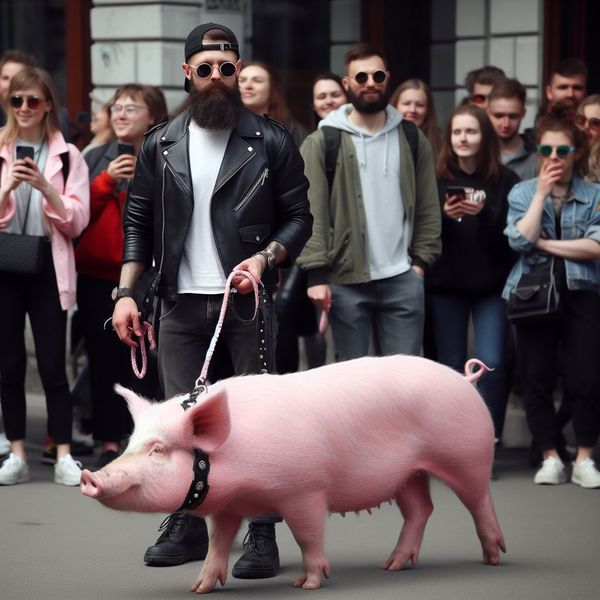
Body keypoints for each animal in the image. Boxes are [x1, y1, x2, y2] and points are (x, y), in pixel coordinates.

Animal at [81, 354, 506, 592]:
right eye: (131, 443)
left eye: (158, 450)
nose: (89, 477)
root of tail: (464, 379)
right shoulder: (227, 505)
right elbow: (218, 542)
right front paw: (198, 587)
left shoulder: (306, 489)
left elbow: (307, 536)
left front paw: (308, 583)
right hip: (408, 473)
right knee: (421, 509)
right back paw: (393, 565)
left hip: (466, 453)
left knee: (479, 500)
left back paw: (493, 558)